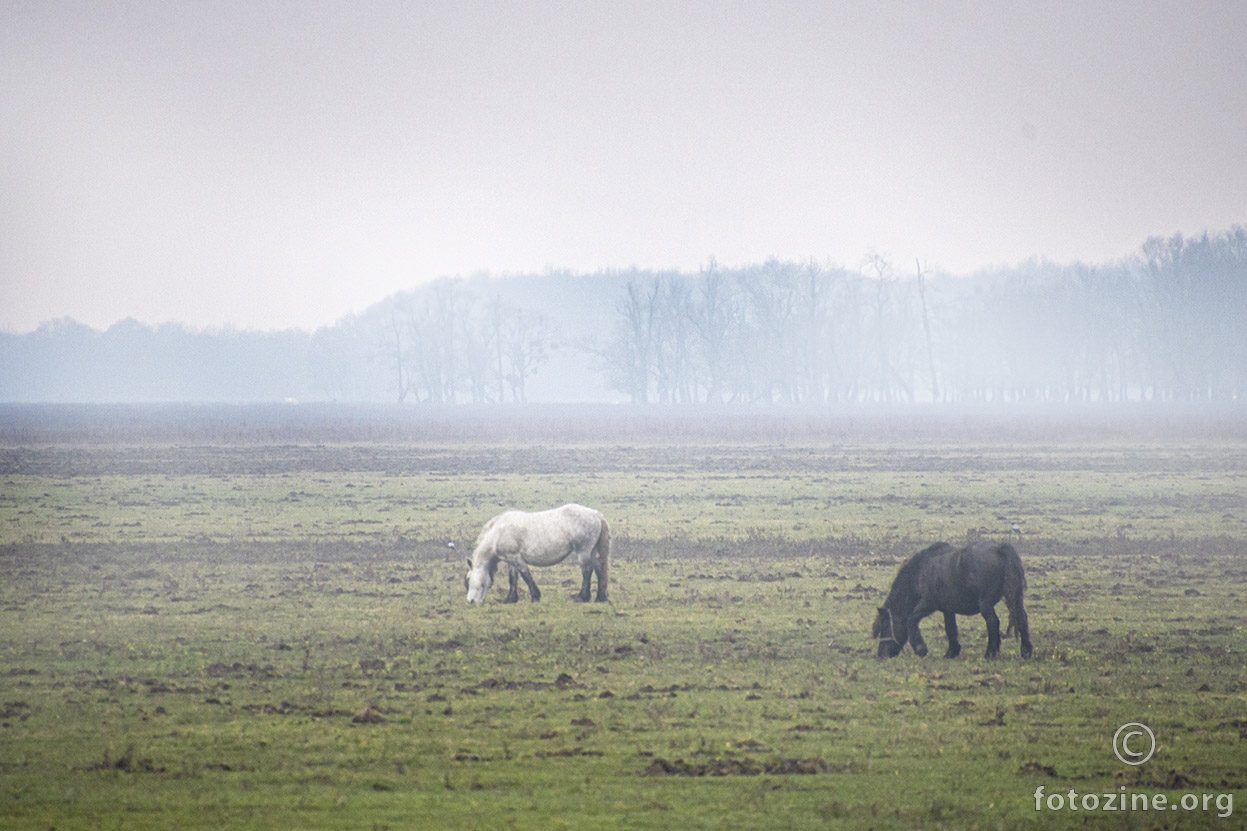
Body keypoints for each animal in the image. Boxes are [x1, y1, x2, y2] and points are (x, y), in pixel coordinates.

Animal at [466, 501, 611, 606]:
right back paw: (600, 597)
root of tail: (596, 514)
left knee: (587, 571)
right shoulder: (510, 560)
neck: (497, 534)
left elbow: (526, 575)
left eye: (468, 579)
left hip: (583, 551)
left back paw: (582, 597)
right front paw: (510, 599)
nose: (471, 601)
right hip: (592, 551)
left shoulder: (516, 558)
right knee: (599, 570)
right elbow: (513, 579)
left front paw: (535, 596)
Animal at [867, 541, 1032, 658]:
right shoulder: (947, 609)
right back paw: (1026, 651)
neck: (923, 569)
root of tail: (999, 548)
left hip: (985, 604)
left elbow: (911, 620)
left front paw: (921, 649)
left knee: (993, 622)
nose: (881, 655)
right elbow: (950, 628)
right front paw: (952, 652)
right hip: (1015, 598)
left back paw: (990, 653)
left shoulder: (928, 604)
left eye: (886, 626)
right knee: (1021, 617)